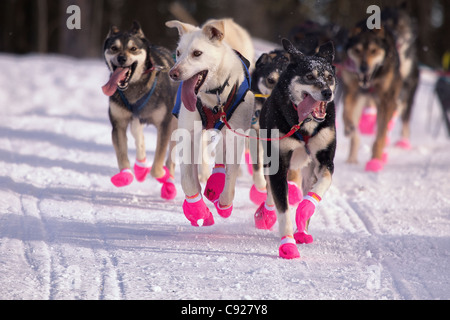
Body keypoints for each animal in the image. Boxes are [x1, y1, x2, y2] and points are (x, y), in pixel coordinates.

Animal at [166, 18, 256, 226]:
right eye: (178, 52)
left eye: (197, 53)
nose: (173, 73)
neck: (215, 97)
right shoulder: (188, 134)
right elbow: (188, 180)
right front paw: (197, 210)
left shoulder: (235, 135)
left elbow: (230, 178)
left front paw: (224, 205)